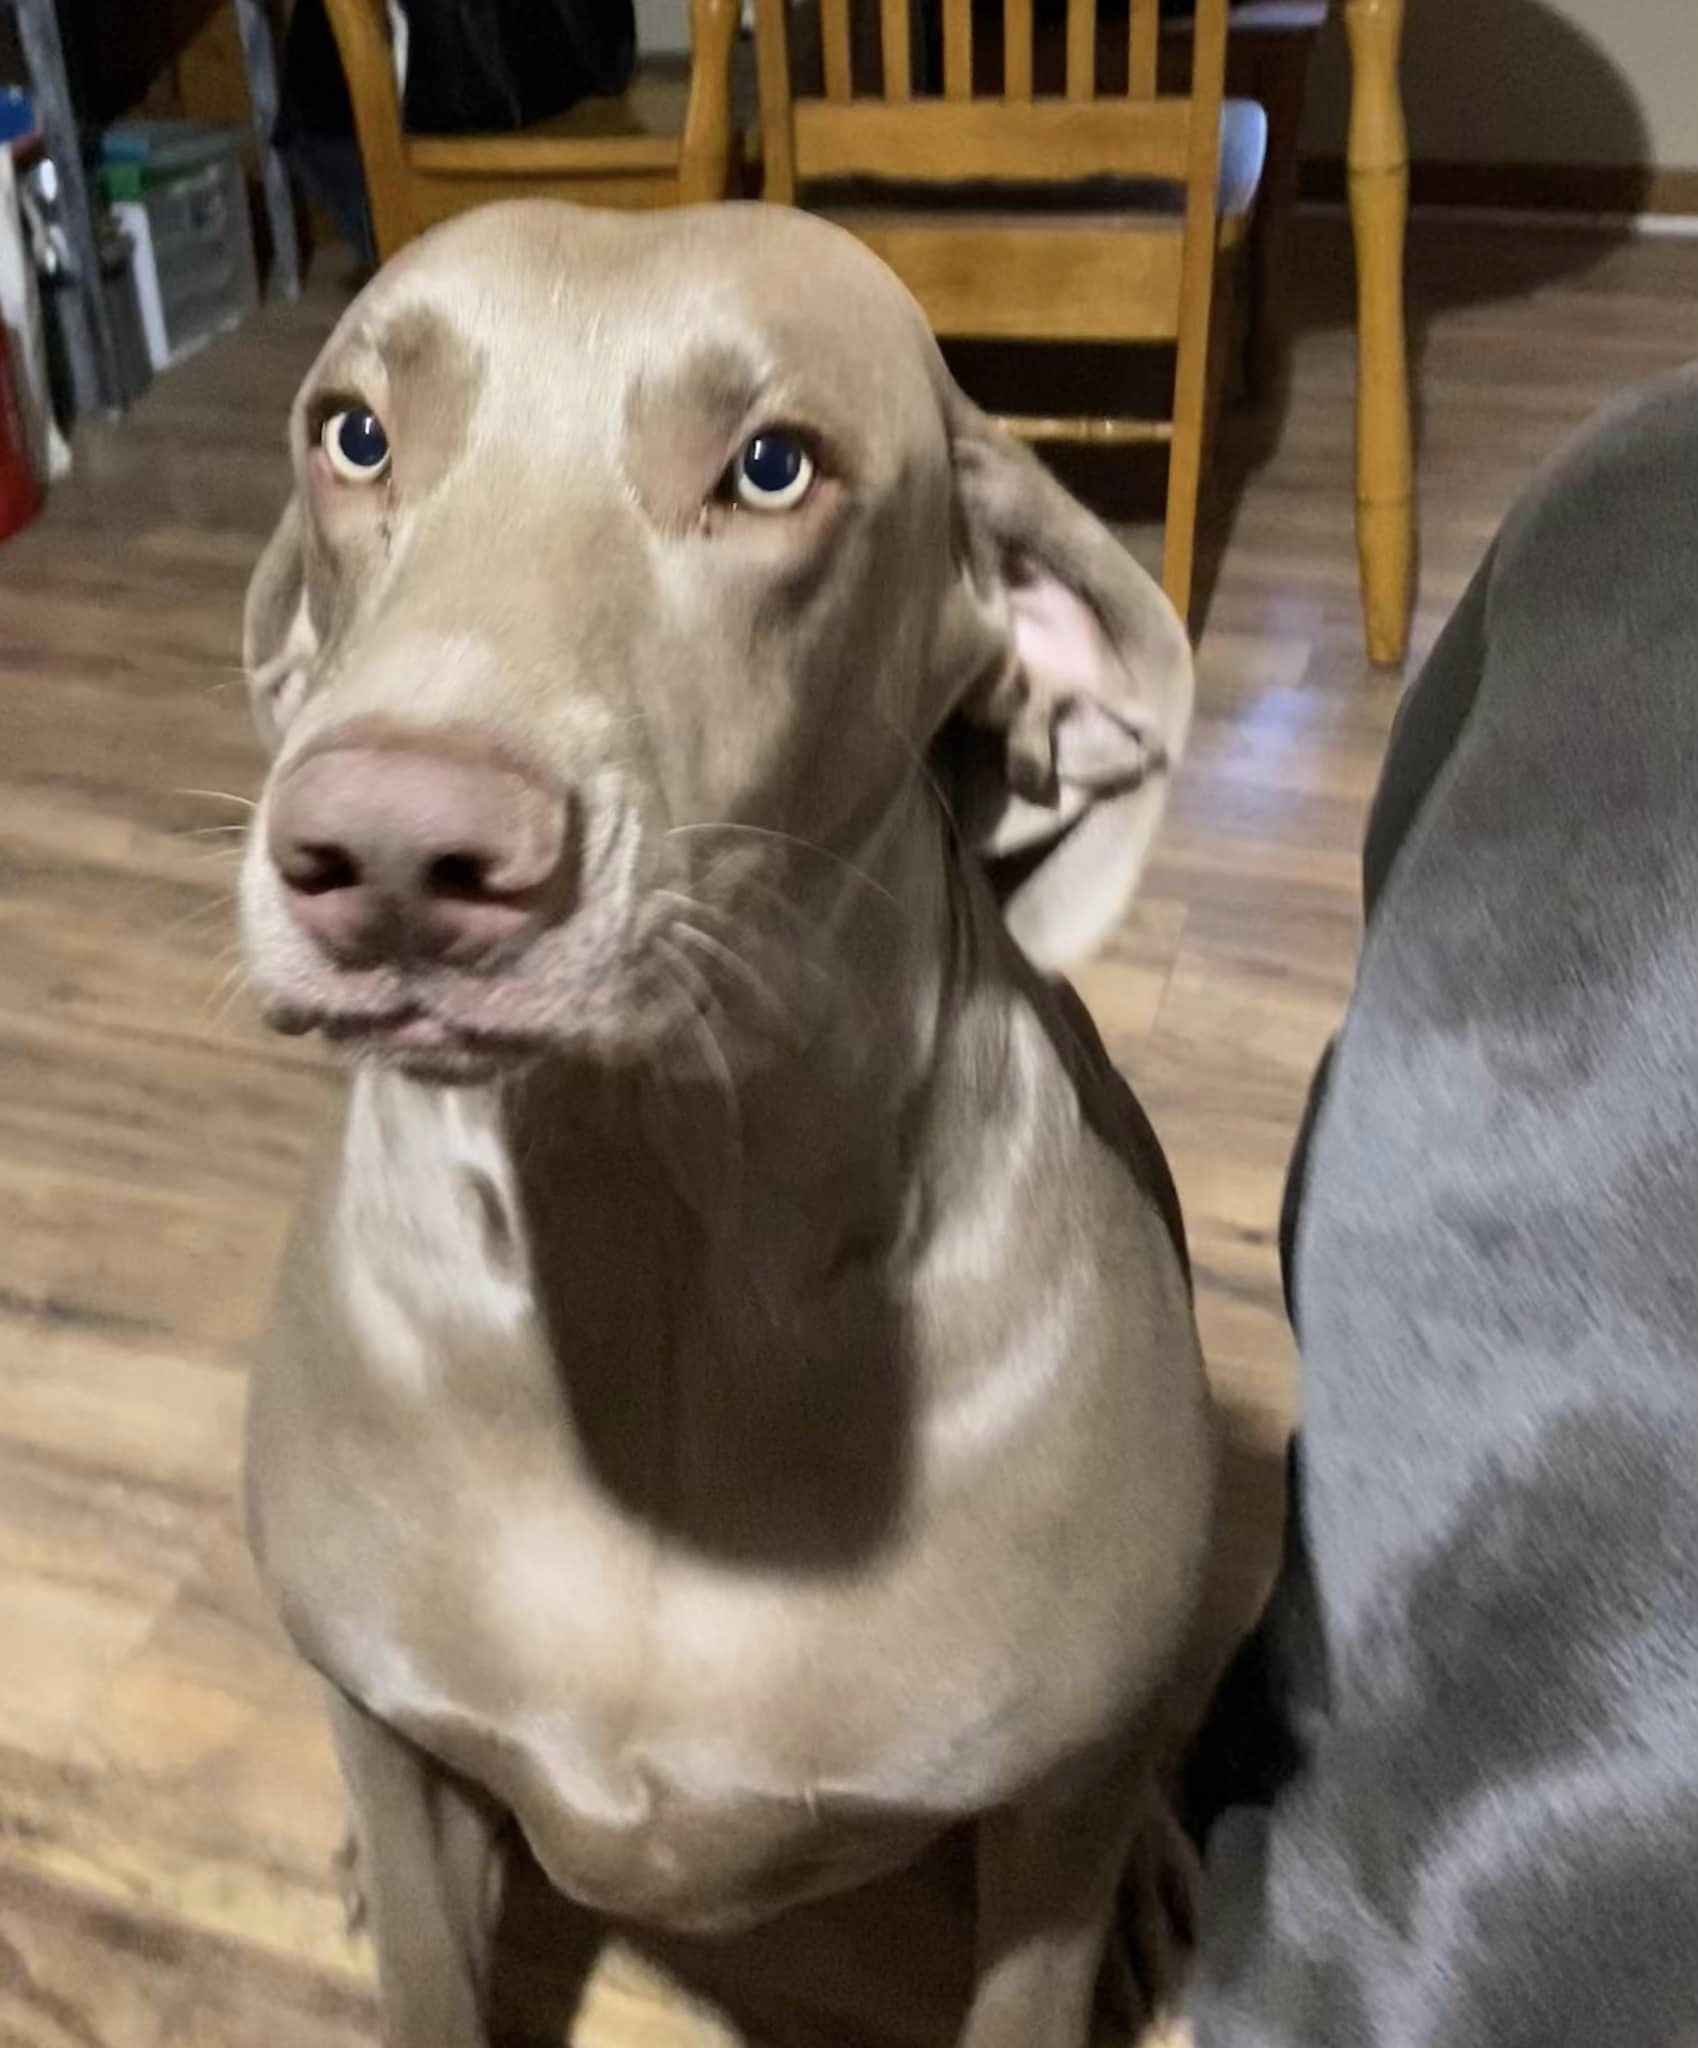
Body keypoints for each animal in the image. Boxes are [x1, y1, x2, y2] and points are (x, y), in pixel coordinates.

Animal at [238, 203, 1212, 2048]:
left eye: (772, 467)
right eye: (354, 433)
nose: (390, 852)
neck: (655, 1228)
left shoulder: (1048, 1819)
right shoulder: (383, 1719)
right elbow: (423, 1938)